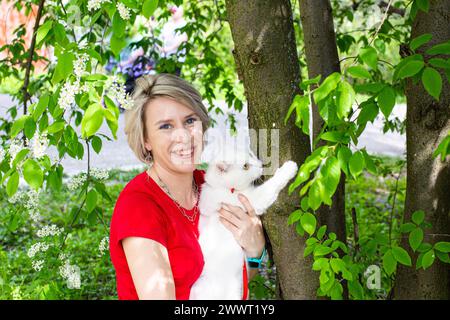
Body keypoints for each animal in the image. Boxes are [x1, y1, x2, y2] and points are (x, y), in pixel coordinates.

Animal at [190, 130, 298, 300]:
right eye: (246, 166)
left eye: (251, 155)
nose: (261, 165)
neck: (224, 188)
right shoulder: (255, 199)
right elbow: (271, 185)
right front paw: (289, 168)